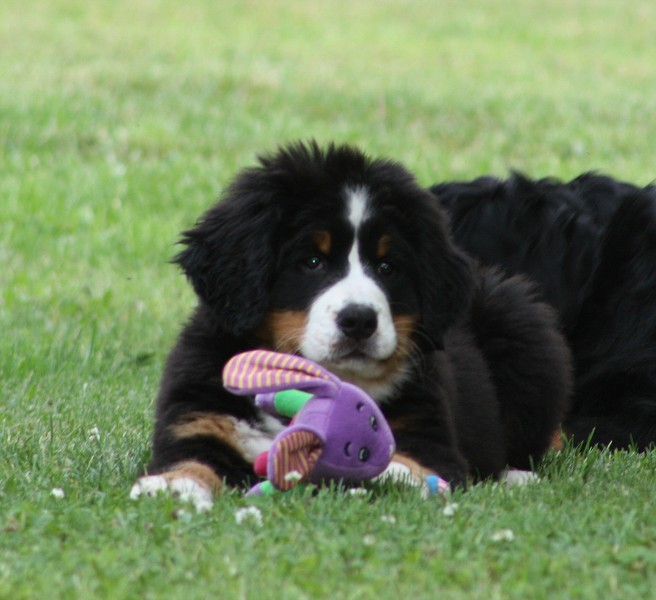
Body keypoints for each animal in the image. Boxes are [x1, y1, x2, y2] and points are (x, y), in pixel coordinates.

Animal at [131, 143, 572, 508]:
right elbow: (192, 462)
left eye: (387, 267)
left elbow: (410, 461)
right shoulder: (200, 422)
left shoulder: (428, 436)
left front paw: (390, 470)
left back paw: (515, 476)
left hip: (521, 325)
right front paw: (171, 486)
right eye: (311, 261)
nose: (359, 320)